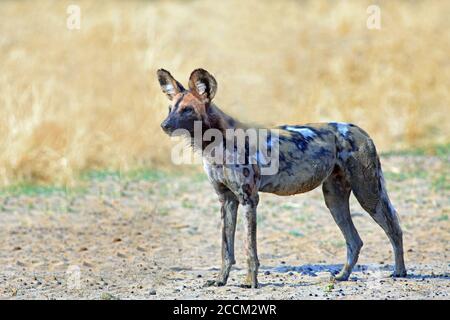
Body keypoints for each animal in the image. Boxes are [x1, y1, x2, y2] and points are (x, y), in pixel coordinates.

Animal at [156, 67, 406, 288]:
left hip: (368, 194)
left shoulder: (249, 200)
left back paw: (400, 272)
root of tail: (360, 130)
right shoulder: (227, 200)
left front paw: (250, 282)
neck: (215, 143)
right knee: (354, 240)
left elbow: (249, 249)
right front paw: (220, 281)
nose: (164, 125)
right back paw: (342, 276)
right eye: (170, 108)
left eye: (187, 109)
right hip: (334, 200)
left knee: (394, 226)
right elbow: (226, 250)